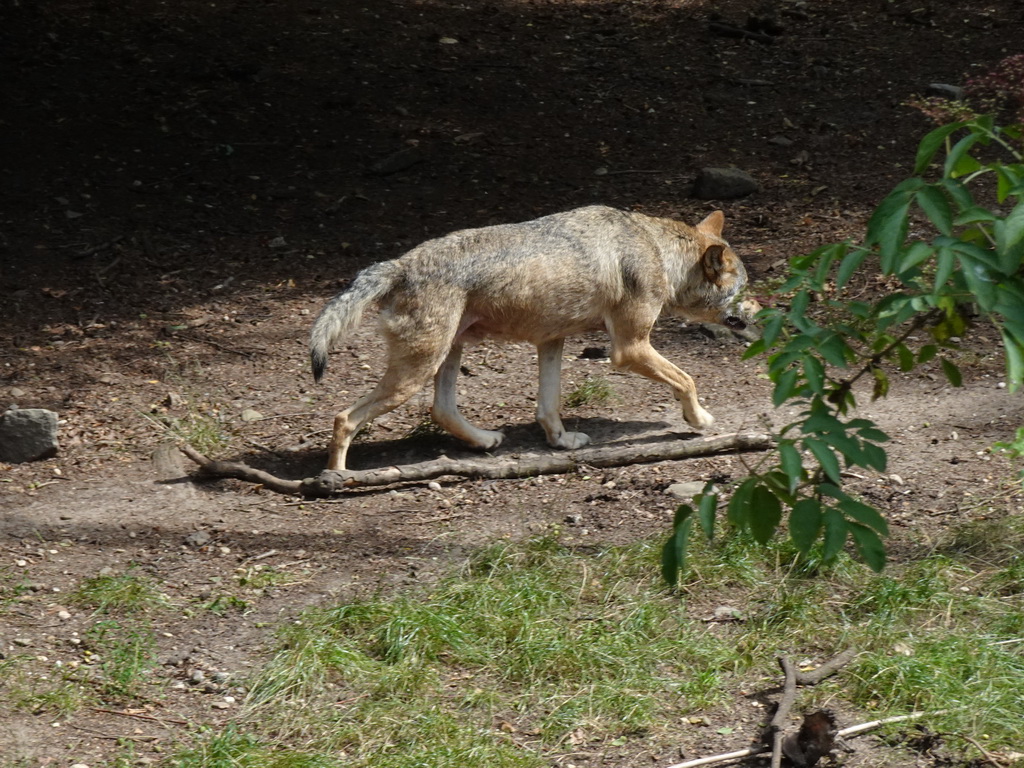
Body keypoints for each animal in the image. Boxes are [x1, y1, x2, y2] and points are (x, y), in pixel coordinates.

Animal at [309, 204, 753, 473]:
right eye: (743, 290)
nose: (760, 310)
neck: (658, 252)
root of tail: (399, 264)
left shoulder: (551, 342)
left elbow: (548, 406)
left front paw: (560, 441)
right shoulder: (629, 350)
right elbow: (688, 380)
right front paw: (699, 420)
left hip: (445, 357)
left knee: (441, 411)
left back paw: (485, 440)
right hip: (415, 373)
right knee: (344, 418)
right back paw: (337, 479)